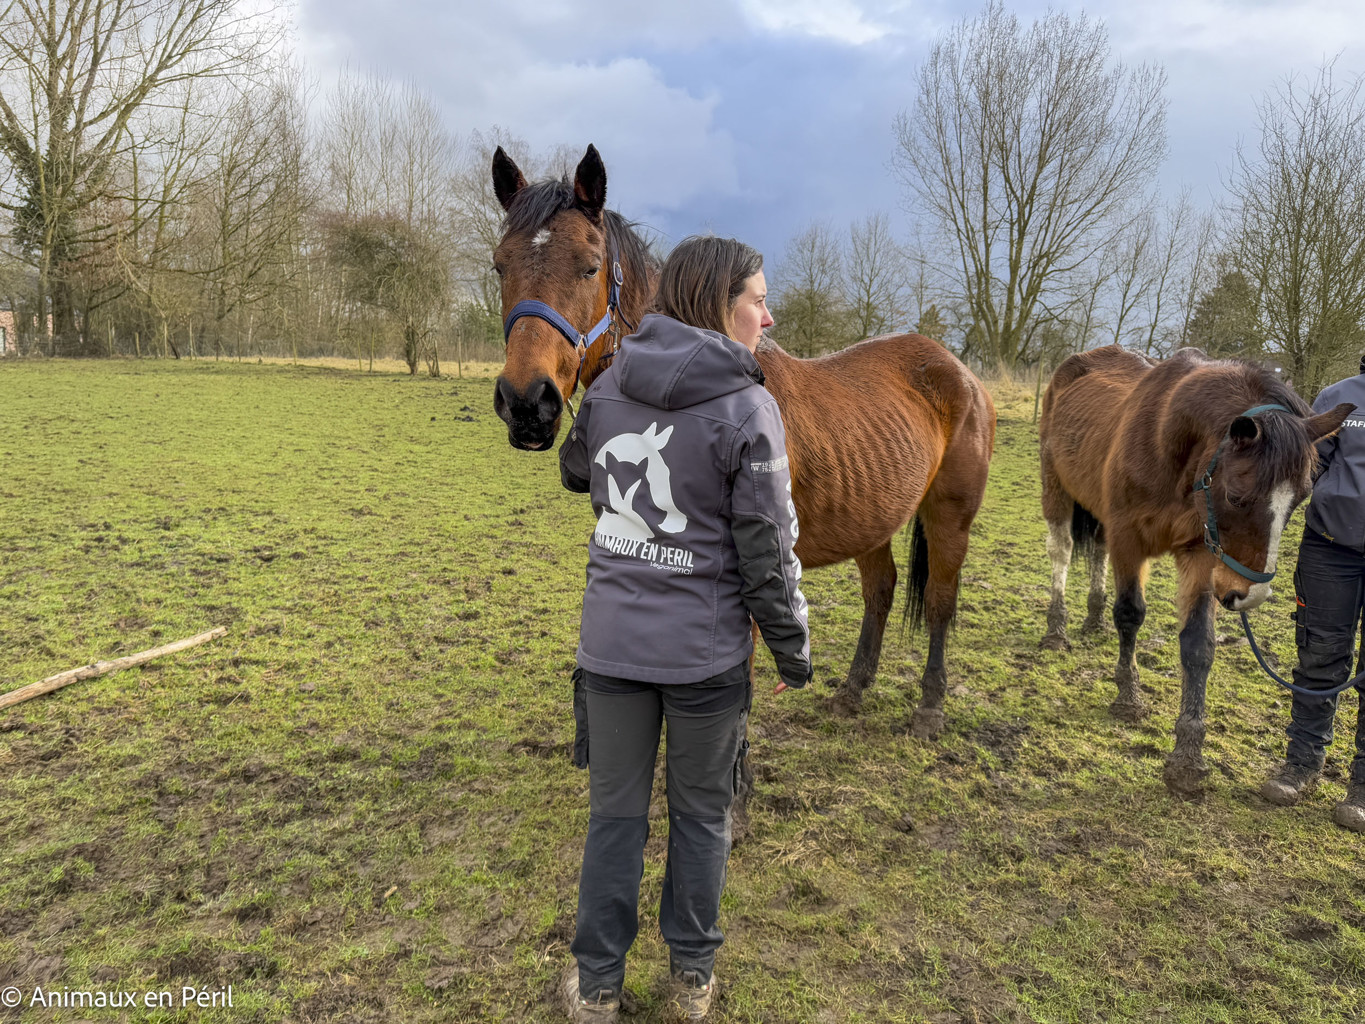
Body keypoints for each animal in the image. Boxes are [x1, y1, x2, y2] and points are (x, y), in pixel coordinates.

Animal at [491, 143, 996, 738]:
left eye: (590, 267)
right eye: (500, 265)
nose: (527, 403)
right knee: (882, 591)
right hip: (873, 517)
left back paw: (930, 705)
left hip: (949, 516)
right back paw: (852, 690)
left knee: (940, 598)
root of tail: (957, 370)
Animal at [1038, 345, 1353, 798]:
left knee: (1096, 551)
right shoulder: (1129, 539)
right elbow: (1130, 614)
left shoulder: (1202, 553)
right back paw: (1056, 627)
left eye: (1301, 499)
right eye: (1236, 497)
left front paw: (1187, 757)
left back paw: (1094, 617)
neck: (1171, 446)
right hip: (1056, 487)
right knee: (1061, 554)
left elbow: (1198, 645)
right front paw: (1128, 697)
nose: (1249, 595)